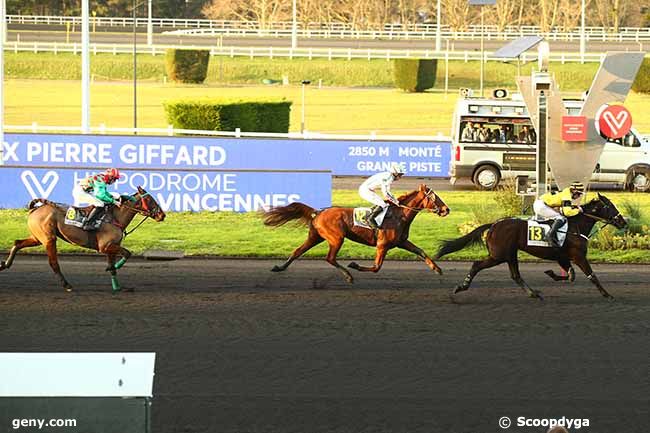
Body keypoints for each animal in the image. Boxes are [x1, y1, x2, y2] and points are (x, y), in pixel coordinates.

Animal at [0, 186, 165, 294]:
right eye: (149, 199)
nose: (162, 215)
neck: (114, 218)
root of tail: (37, 208)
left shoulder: (111, 247)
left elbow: (114, 267)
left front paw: (118, 286)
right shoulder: (105, 246)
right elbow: (127, 253)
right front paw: (112, 268)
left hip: (37, 237)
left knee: (17, 243)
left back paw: (5, 264)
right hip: (48, 239)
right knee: (53, 262)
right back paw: (67, 285)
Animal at [260, 183, 448, 282]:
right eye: (434, 197)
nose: (447, 209)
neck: (398, 215)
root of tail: (318, 212)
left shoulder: (401, 242)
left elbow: (421, 251)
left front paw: (437, 269)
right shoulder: (383, 245)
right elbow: (376, 267)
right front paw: (354, 265)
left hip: (316, 237)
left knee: (297, 251)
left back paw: (279, 267)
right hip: (336, 238)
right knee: (329, 258)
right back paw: (348, 274)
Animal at [432, 193, 624, 298]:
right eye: (610, 206)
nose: (623, 221)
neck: (575, 227)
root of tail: (494, 225)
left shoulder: (562, 257)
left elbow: (570, 275)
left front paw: (551, 273)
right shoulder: (578, 256)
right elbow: (591, 276)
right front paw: (608, 295)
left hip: (509, 254)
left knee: (515, 275)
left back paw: (534, 294)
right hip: (499, 255)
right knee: (477, 265)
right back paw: (461, 287)